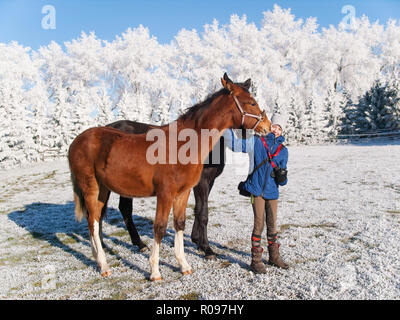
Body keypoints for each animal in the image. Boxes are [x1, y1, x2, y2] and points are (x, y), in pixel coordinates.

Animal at [69, 72, 272, 280]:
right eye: (251, 102)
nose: (268, 126)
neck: (183, 144)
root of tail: (77, 141)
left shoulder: (183, 192)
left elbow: (180, 223)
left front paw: (184, 264)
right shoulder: (166, 193)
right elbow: (160, 227)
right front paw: (155, 271)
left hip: (104, 189)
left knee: (96, 218)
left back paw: (100, 255)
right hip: (91, 187)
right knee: (93, 221)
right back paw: (104, 265)